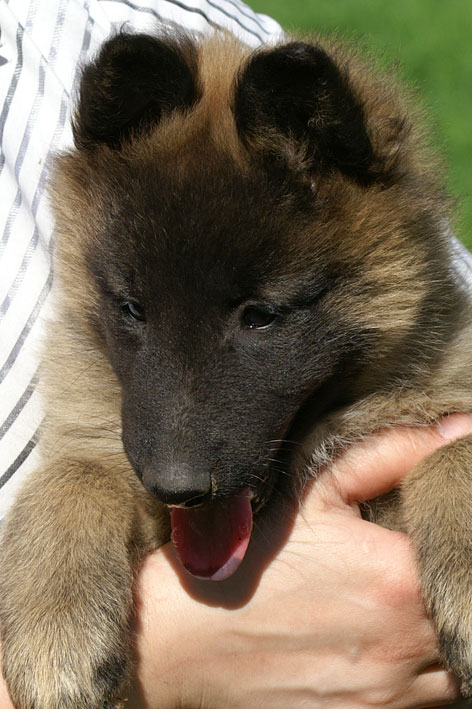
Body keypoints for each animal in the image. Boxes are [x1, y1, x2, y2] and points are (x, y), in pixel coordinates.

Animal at [0, 27, 472, 708]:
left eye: (260, 316)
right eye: (133, 308)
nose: (176, 487)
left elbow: (452, 449)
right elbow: (73, 474)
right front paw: (53, 630)